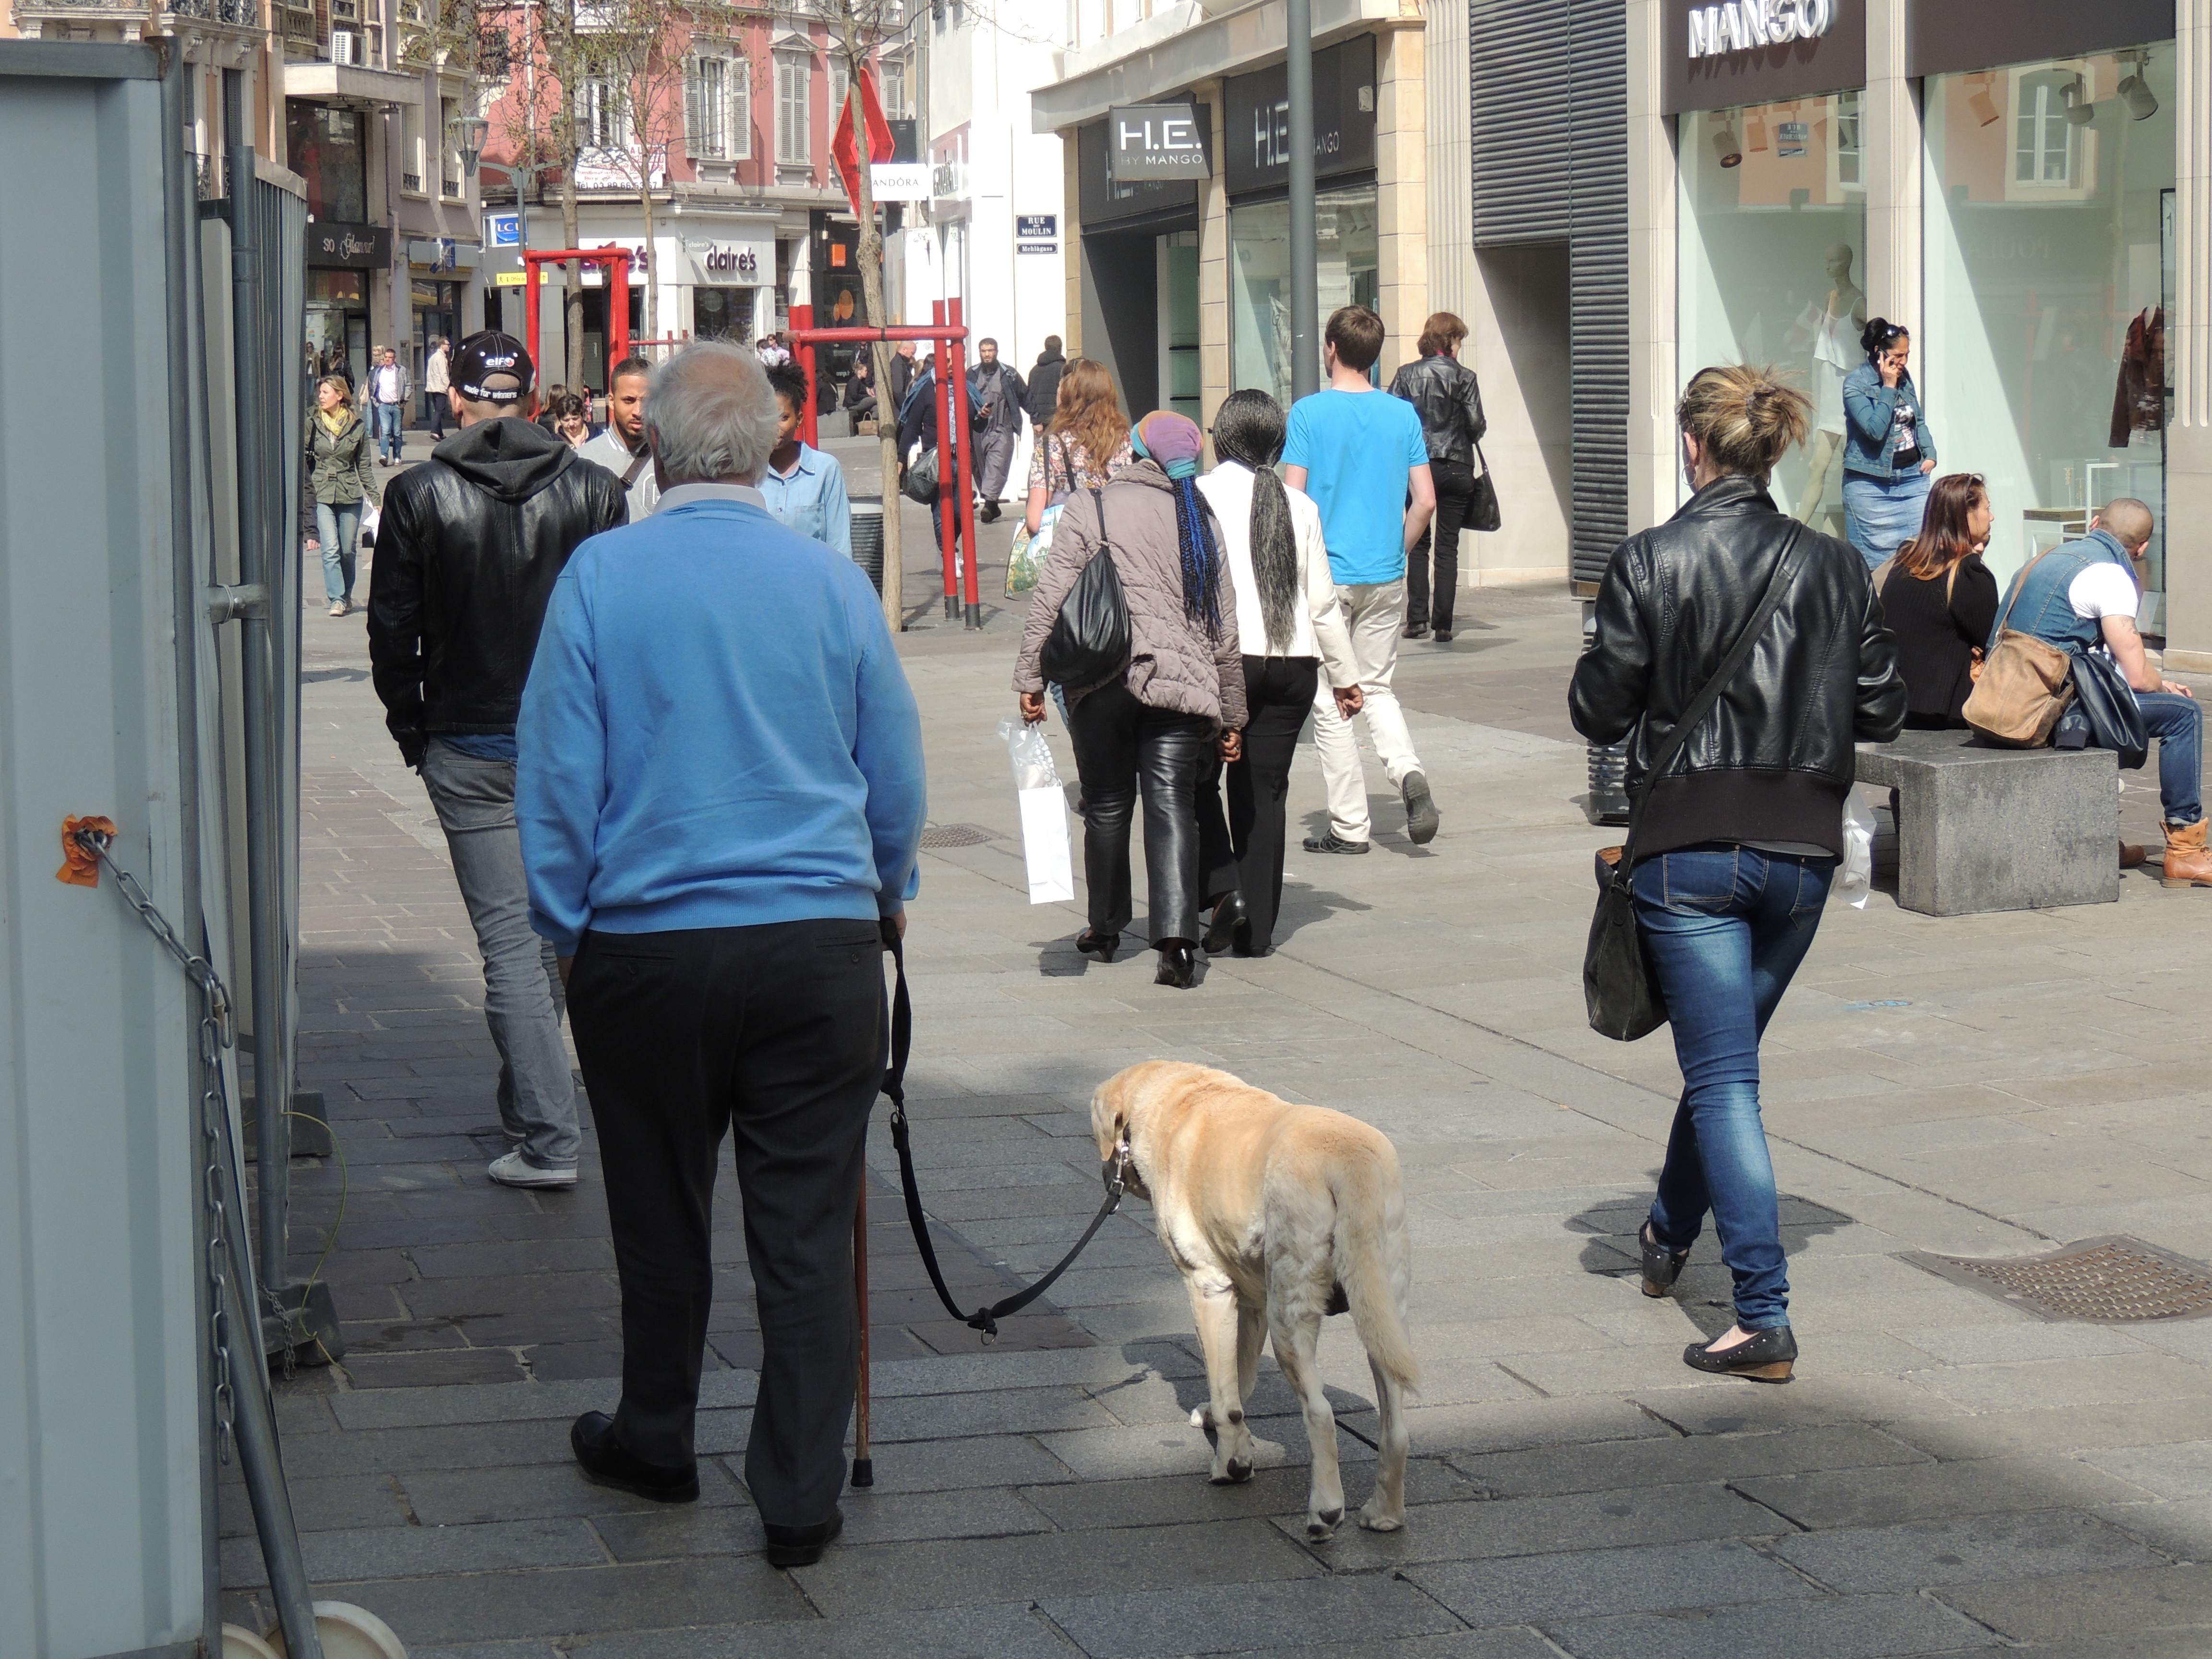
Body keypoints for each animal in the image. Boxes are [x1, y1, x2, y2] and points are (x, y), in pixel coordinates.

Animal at [1088, 1066, 1416, 1548]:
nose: (1103, 1176)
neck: (1181, 1094)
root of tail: (1349, 1161)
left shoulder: (1207, 1286)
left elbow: (1227, 1394)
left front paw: (1231, 1463)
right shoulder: (1252, 1300)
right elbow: (1238, 1378)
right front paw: (1229, 1432)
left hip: (1291, 1316)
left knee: (1320, 1414)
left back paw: (1324, 1513)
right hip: (1381, 1306)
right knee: (1395, 1428)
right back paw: (1385, 1514)